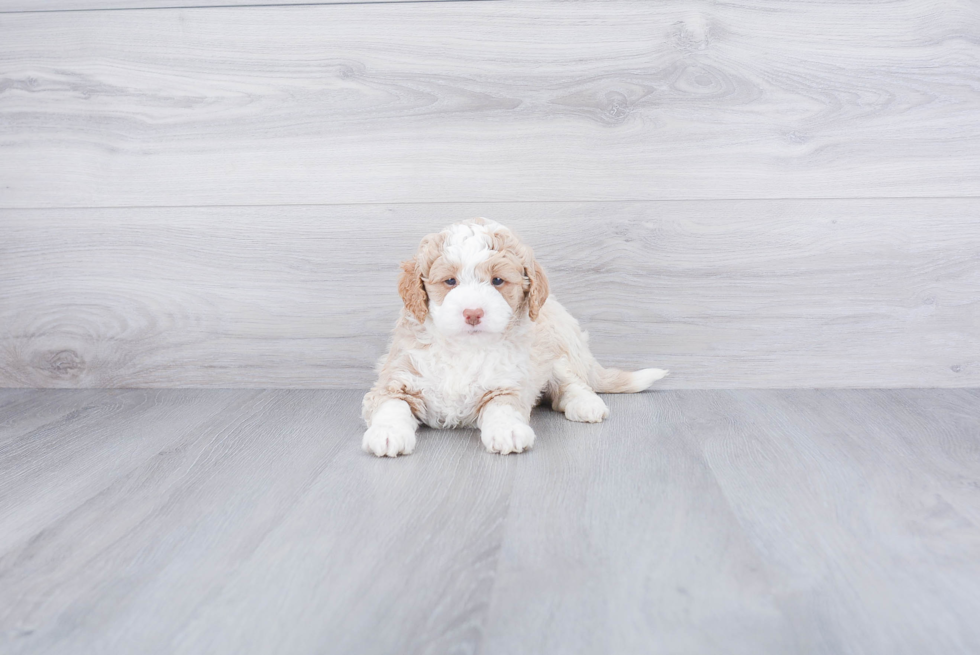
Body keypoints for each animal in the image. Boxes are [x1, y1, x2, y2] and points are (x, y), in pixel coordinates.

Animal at [364, 218, 668, 458]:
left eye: (498, 281)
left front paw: (507, 431)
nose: (473, 312)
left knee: (571, 384)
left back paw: (586, 404)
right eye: (450, 281)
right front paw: (387, 433)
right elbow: (392, 405)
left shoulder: (507, 382)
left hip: (558, 350)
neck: (465, 348)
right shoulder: (396, 377)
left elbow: (502, 407)